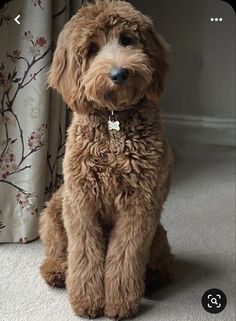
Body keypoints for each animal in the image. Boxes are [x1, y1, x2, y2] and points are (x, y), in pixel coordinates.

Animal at [39, 1, 175, 318]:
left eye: (127, 39)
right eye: (91, 49)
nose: (118, 74)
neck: (115, 121)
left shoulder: (140, 206)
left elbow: (125, 256)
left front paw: (120, 303)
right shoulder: (81, 202)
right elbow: (84, 254)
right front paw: (87, 301)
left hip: (158, 232)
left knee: (164, 263)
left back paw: (153, 279)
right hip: (55, 207)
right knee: (56, 248)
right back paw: (57, 271)